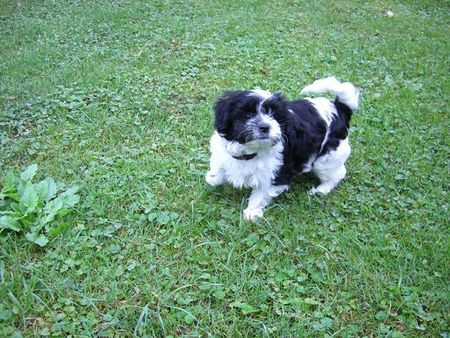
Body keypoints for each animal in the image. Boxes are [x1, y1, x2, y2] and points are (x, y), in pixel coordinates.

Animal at [207, 76, 358, 222]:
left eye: (274, 116)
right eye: (247, 116)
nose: (265, 127)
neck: (251, 151)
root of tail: (339, 108)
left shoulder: (276, 173)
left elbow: (260, 194)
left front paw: (252, 212)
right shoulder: (223, 154)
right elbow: (218, 170)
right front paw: (213, 177)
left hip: (327, 157)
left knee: (337, 173)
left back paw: (320, 190)